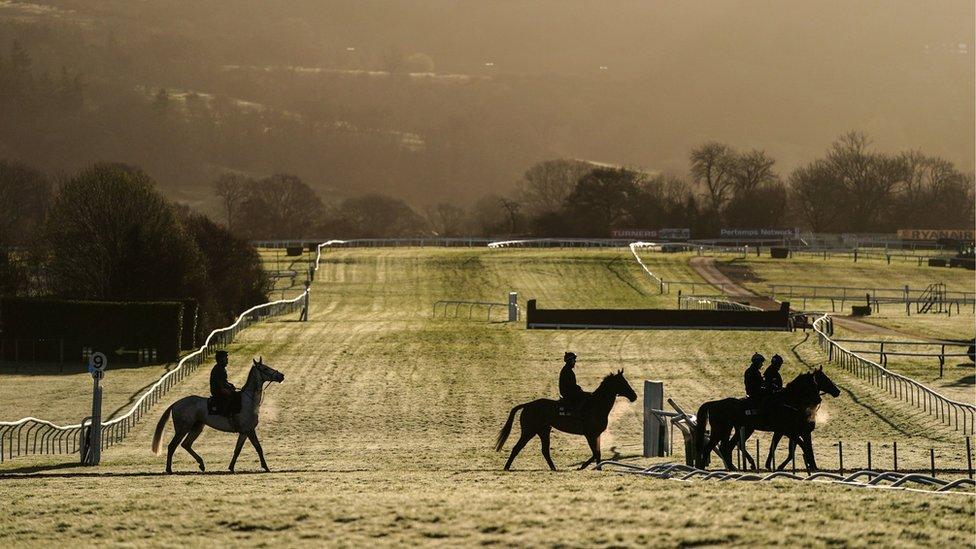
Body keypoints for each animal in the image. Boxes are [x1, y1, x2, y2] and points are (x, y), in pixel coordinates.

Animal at [151, 358, 284, 474]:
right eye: (265, 368)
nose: (281, 376)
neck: (248, 400)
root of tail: (175, 403)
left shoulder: (244, 432)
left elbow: (237, 450)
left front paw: (231, 468)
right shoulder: (249, 430)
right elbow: (258, 447)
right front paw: (266, 467)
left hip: (197, 428)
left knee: (186, 444)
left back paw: (201, 464)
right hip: (182, 429)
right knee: (172, 446)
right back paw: (169, 469)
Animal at [492, 366, 636, 468]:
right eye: (623, 382)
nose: (634, 396)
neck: (596, 405)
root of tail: (528, 405)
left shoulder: (596, 435)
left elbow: (598, 454)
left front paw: (598, 468)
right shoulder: (590, 435)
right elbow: (595, 454)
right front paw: (582, 466)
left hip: (543, 431)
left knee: (545, 451)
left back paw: (554, 468)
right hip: (529, 431)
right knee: (517, 448)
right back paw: (506, 467)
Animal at [692, 366, 840, 468]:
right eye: (822, 379)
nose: (837, 391)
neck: (788, 402)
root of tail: (714, 403)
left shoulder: (785, 431)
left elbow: (780, 447)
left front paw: (771, 465)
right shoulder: (788, 431)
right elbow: (802, 446)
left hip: (741, 429)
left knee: (727, 446)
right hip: (722, 430)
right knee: (717, 447)